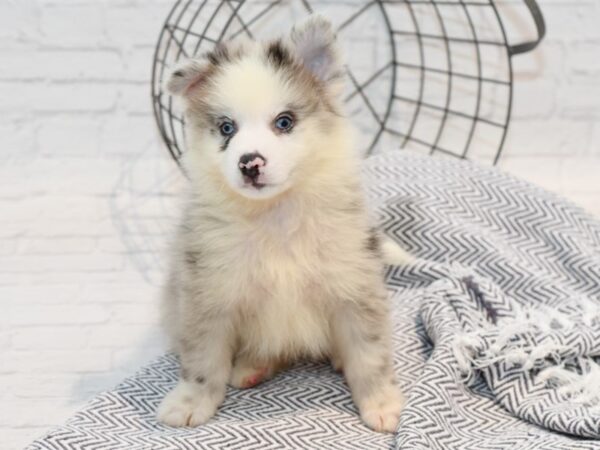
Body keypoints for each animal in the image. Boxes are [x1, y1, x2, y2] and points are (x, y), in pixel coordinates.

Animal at [157, 16, 406, 432]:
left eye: (284, 122)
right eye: (227, 128)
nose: (250, 163)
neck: (275, 216)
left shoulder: (354, 285)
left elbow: (369, 353)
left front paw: (380, 402)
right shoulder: (207, 293)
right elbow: (202, 359)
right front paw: (189, 402)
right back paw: (251, 367)